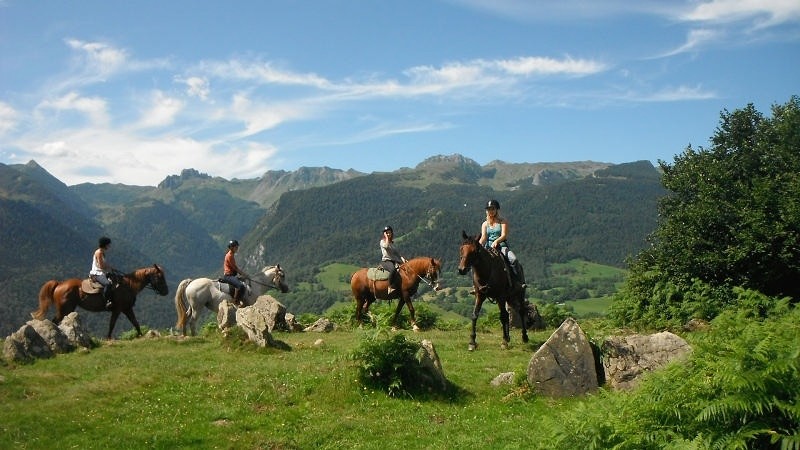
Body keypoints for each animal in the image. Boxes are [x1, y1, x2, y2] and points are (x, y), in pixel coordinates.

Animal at [32, 264, 169, 342]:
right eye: (160, 277)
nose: (166, 292)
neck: (128, 286)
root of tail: (59, 284)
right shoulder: (118, 309)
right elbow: (112, 324)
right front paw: (108, 338)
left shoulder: (127, 309)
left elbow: (135, 323)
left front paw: (141, 335)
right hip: (64, 309)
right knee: (55, 321)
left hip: (67, 310)